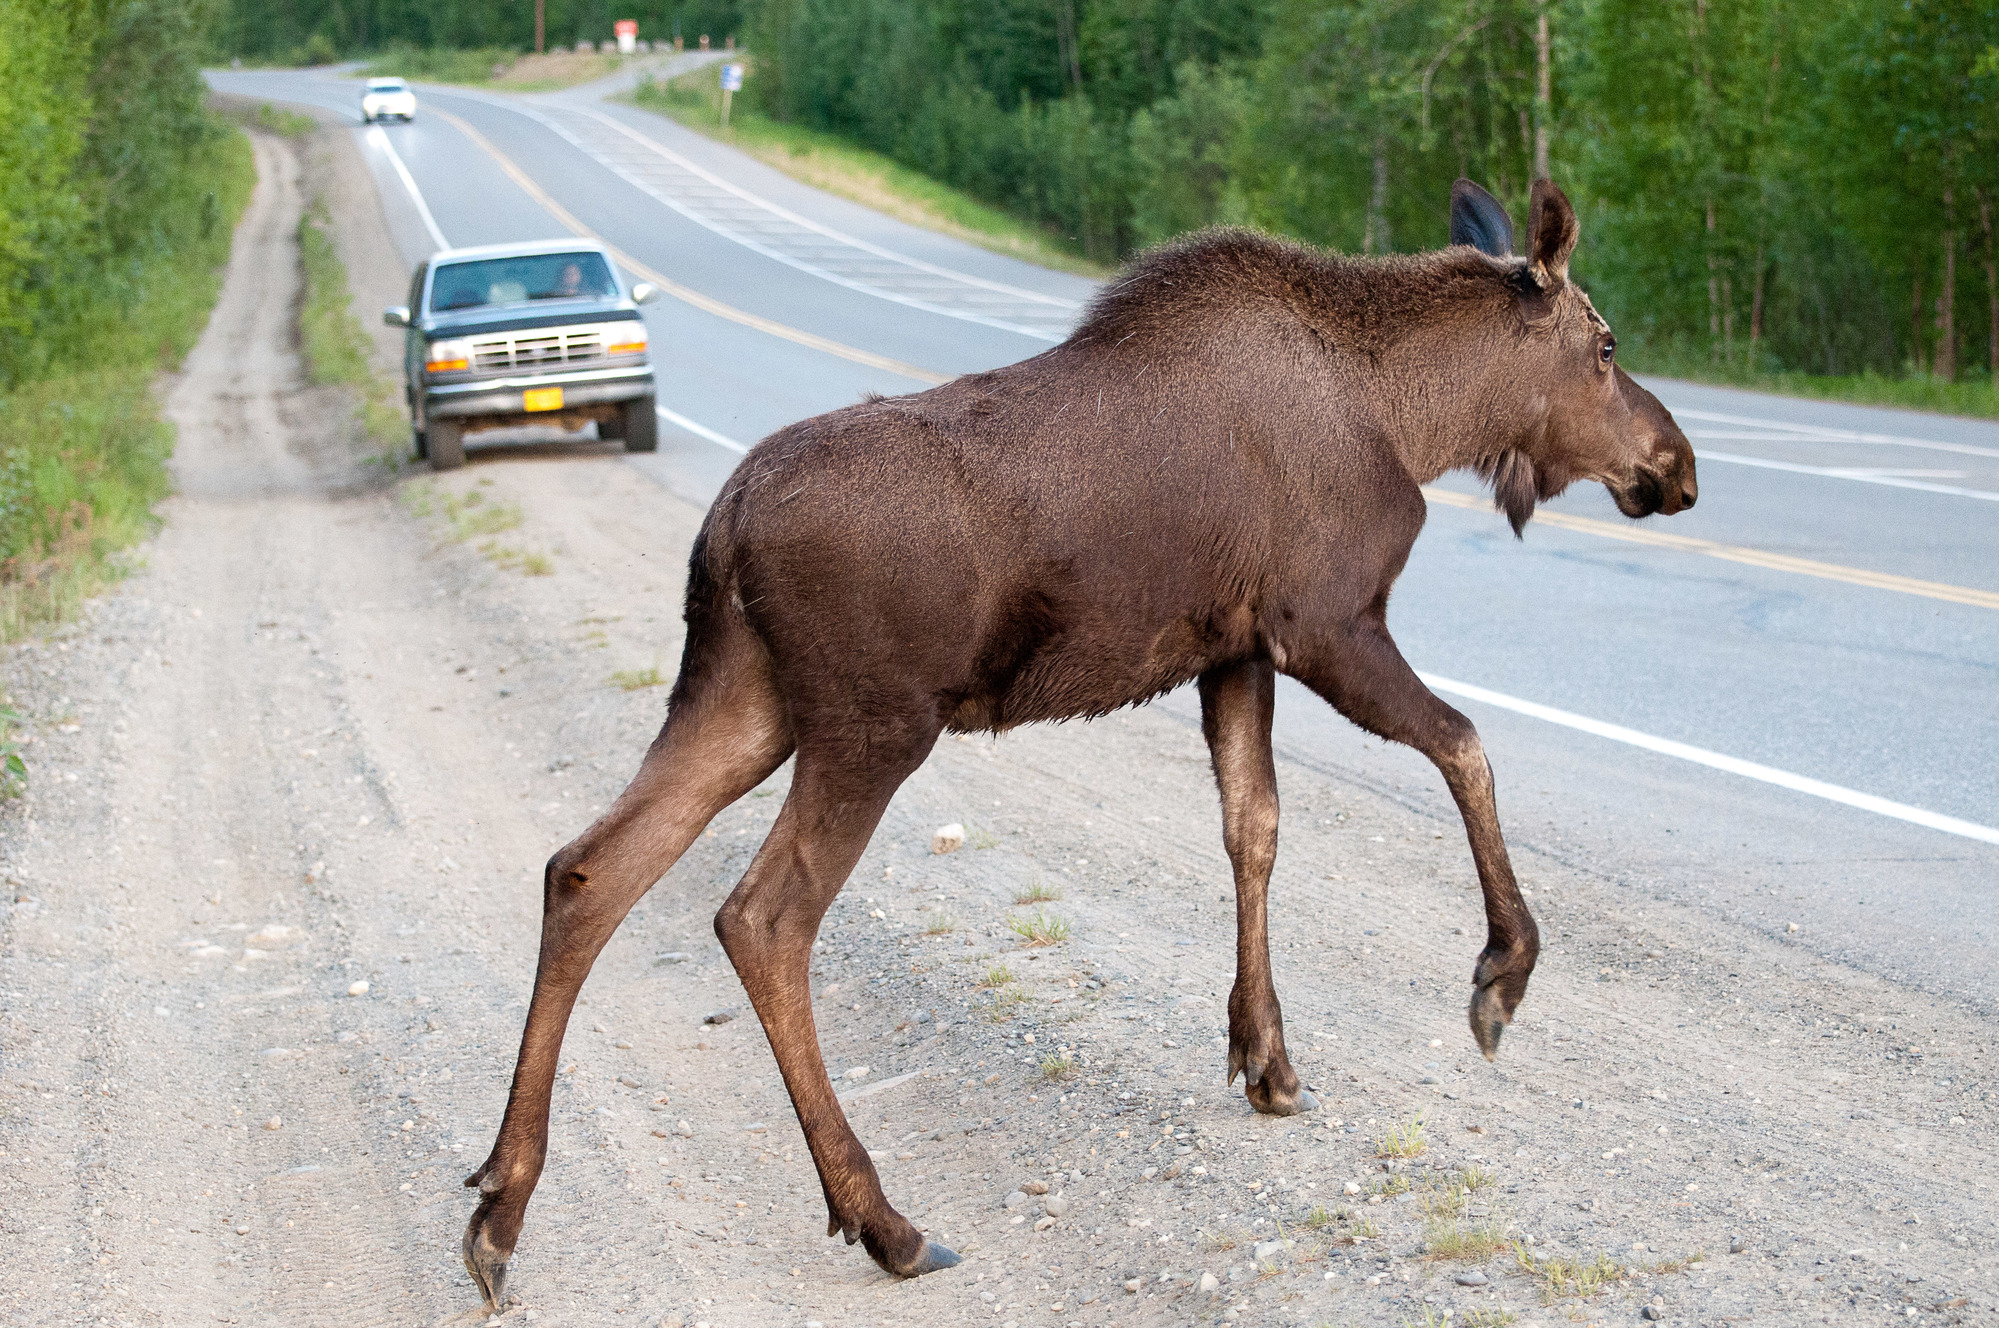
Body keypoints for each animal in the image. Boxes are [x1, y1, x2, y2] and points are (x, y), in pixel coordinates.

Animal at [461, 177, 1697, 1307]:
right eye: (1604, 344)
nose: (1677, 464)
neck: (1417, 416)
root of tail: (722, 523)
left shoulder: (1233, 650)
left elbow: (1253, 828)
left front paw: (1265, 1055)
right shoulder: (1325, 620)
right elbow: (1465, 746)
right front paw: (1499, 973)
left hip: (742, 702)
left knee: (588, 867)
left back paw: (498, 1208)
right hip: (870, 724)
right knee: (761, 916)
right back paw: (884, 1219)